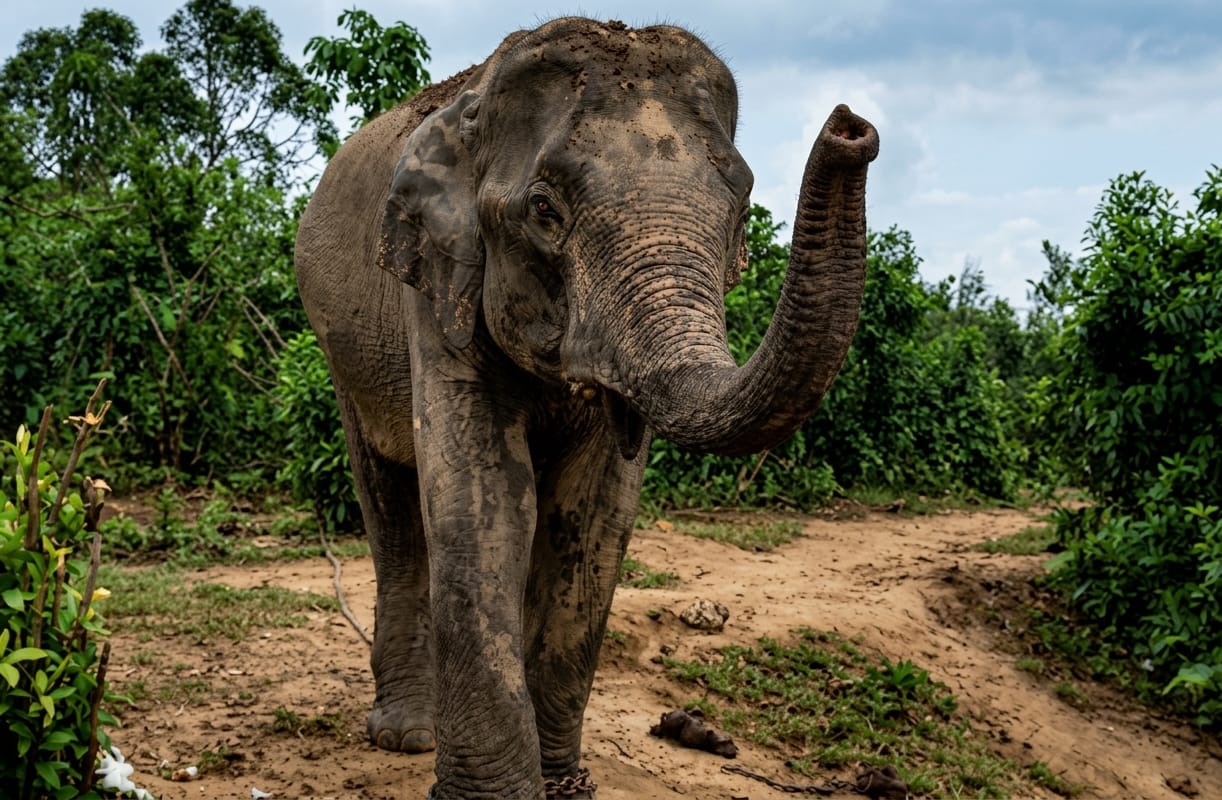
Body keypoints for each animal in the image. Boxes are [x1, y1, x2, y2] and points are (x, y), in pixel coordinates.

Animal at [294, 16, 878, 799]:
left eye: (739, 210)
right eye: (545, 210)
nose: (850, 127)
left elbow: (596, 513)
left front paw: (565, 788)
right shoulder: (438, 284)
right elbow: (484, 497)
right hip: (341, 346)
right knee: (388, 499)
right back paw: (407, 736)